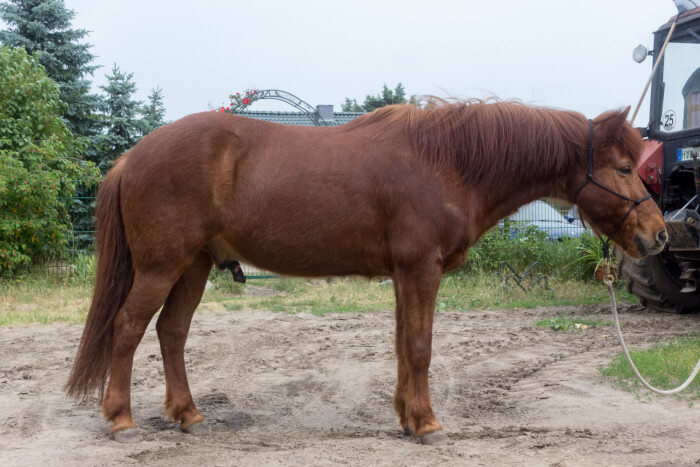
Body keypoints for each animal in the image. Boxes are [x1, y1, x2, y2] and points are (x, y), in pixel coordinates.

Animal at [64, 100, 668, 444]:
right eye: (623, 167)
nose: (659, 234)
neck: (447, 162)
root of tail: (131, 157)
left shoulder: (405, 274)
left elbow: (403, 345)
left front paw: (407, 417)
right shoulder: (421, 269)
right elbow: (420, 347)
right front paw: (428, 425)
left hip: (192, 267)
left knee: (171, 333)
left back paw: (187, 415)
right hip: (161, 266)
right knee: (128, 329)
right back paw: (121, 419)